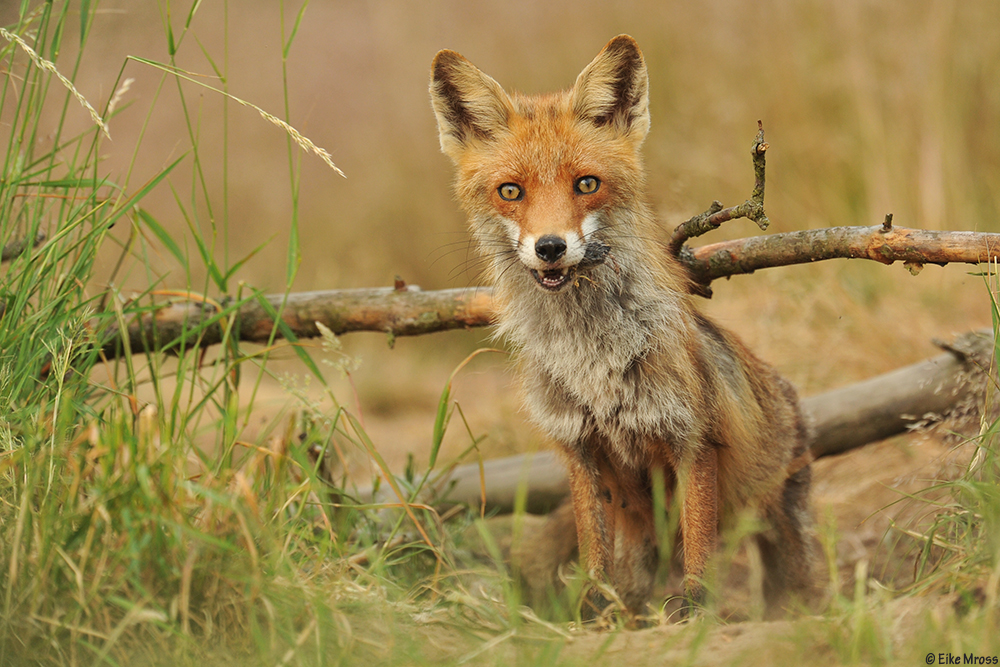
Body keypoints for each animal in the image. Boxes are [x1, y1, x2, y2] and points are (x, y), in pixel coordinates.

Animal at [430, 34, 812, 620]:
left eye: (586, 184)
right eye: (511, 191)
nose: (550, 247)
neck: (590, 353)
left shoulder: (692, 437)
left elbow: (698, 540)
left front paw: (694, 610)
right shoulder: (579, 446)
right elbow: (593, 548)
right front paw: (592, 608)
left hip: (777, 522)